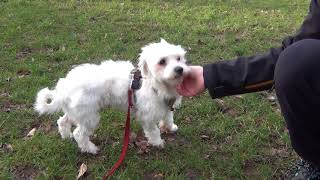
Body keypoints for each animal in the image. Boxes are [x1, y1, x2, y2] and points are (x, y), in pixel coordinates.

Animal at [34, 39, 190, 153]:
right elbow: (154, 131)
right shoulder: (148, 117)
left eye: (179, 58)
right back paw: (90, 149)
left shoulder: (167, 105)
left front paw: (170, 127)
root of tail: (64, 87)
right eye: (162, 61)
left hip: (77, 112)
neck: (155, 82)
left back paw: (66, 135)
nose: (179, 69)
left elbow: (168, 117)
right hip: (89, 116)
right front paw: (158, 143)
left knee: (62, 121)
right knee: (79, 133)